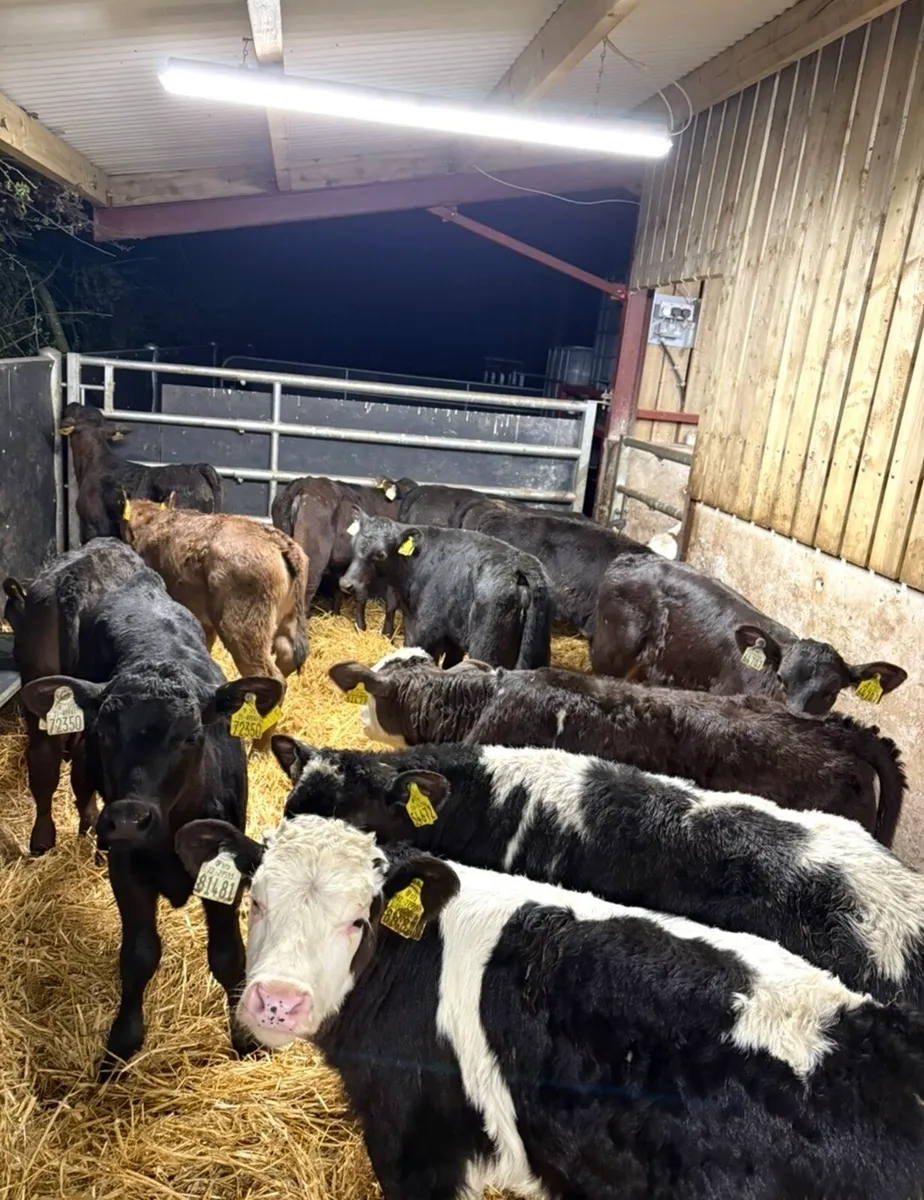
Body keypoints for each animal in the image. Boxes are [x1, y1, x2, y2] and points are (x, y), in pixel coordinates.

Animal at [20, 563, 283, 1078]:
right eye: (106, 730)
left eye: (192, 735)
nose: (125, 821)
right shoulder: (128, 871)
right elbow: (140, 954)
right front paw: (120, 1045)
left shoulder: (224, 861)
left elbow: (229, 956)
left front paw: (246, 1038)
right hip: (38, 700)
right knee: (45, 764)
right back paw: (46, 838)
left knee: (79, 773)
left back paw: (87, 827)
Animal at [121, 500, 307, 745]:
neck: (152, 522)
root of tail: (279, 543)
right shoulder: (205, 623)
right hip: (286, 623)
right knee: (286, 660)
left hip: (243, 634)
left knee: (273, 679)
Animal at [340, 515, 553, 669]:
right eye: (353, 545)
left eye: (380, 554)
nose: (346, 584)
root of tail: (520, 565)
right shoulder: (453, 641)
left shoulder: (425, 634)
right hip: (538, 652)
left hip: (486, 648)